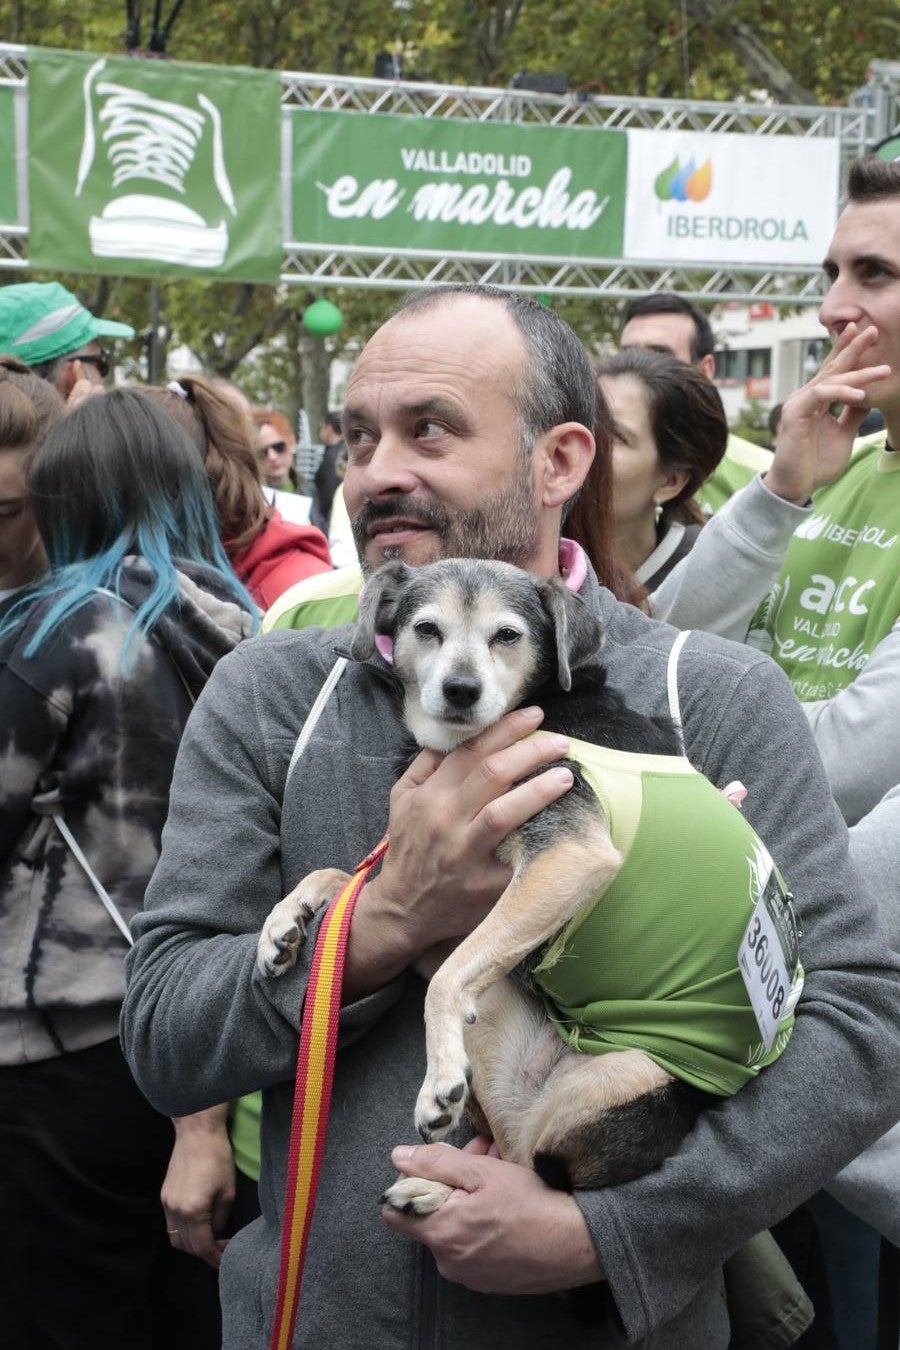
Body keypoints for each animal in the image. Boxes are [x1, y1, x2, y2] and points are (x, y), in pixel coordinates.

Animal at [256, 558, 798, 1225]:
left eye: (507, 636)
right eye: (426, 629)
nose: (461, 690)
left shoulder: (569, 856)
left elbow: (443, 981)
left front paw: (437, 1079)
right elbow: (344, 876)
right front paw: (283, 926)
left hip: (616, 1082)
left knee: (537, 1178)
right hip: (500, 1025)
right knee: (513, 1152)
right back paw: (433, 1189)